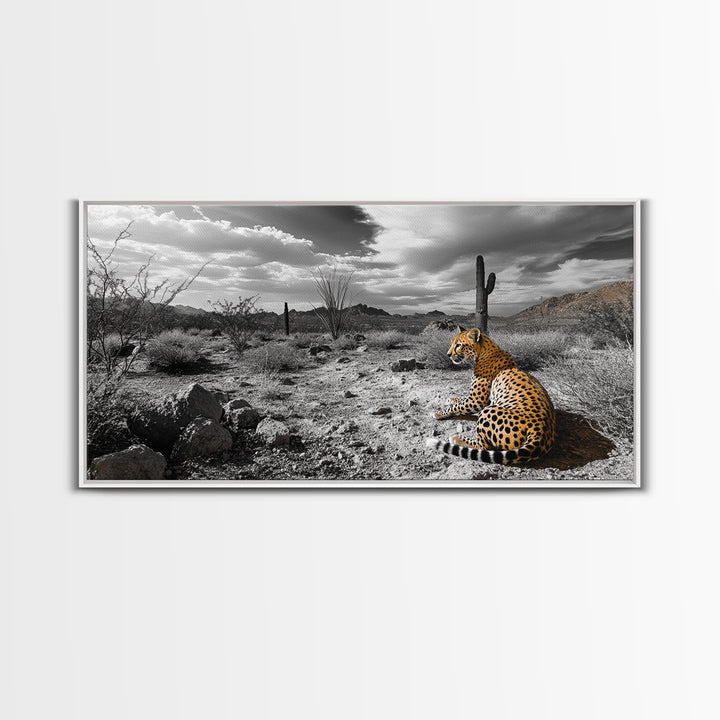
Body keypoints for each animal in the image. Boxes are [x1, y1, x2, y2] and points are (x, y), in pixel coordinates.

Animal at [425, 326, 556, 464]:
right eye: (452, 343)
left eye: (458, 345)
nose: (448, 354)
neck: (483, 351)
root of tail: (542, 430)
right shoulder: (482, 399)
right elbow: (460, 401)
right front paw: (451, 399)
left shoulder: (477, 401)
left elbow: (457, 407)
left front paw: (439, 413)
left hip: (488, 411)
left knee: (483, 445)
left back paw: (457, 438)